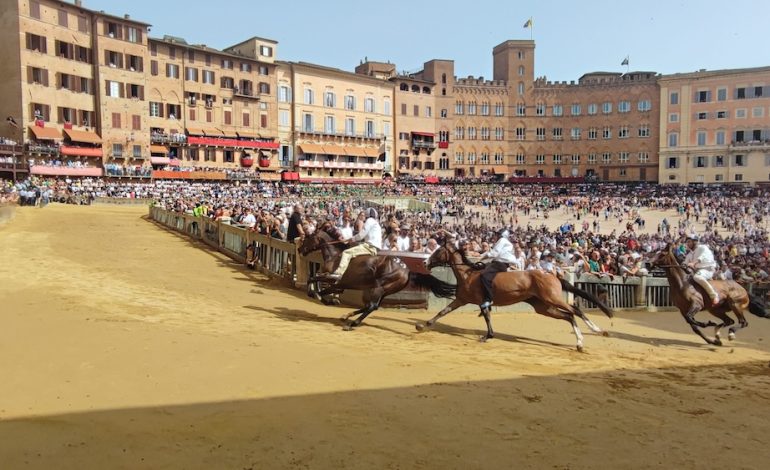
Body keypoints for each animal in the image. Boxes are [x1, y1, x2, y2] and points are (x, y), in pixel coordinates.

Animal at [296, 225, 456, 330]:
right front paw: (325, 298)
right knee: (372, 306)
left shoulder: (333, 280)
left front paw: (319, 296)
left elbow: (314, 280)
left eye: (308, 237)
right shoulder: (339, 285)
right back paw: (347, 316)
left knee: (372, 306)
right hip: (384, 290)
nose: (299, 249)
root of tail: (408, 271)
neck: (336, 256)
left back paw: (352, 323)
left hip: (379, 288)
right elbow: (318, 283)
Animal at [414, 241, 612, 350]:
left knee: (575, 310)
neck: (468, 275)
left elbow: (486, 317)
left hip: (552, 299)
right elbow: (443, 312)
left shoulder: (480, 301)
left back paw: (597, 330)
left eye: (438, 251)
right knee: (569, 315)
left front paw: (488, 336)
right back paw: (579, 343)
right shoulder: (461, 300)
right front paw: (422, 325)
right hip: (543, 307)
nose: (424, 262)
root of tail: (552, 274)